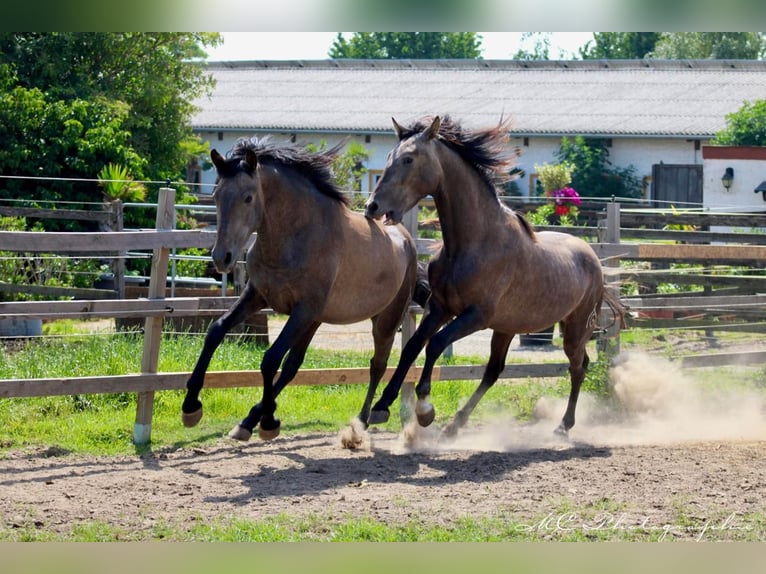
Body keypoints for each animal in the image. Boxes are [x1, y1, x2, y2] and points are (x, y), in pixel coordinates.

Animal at [182, 138, 420, 446]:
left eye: (248, 197)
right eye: (216, 196)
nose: (222, 257)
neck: (296, 237)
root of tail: (406, 238)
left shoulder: (302, 309)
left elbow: (270, 359)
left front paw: (269, 422)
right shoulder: (257, 296)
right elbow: (216, 331)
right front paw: (190, 406)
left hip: (384, 320)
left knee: (377, 365)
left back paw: (364, 421)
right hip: (316, 319)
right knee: (294, 365)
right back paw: (247, 422)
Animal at [364, 117, 624, 440]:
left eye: (408, 159)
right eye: (389, 157)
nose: (372, 207)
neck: (475, 241)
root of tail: (594, 259)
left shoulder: (477, 315)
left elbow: (435, 344)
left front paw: (424, 410)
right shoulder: (440, 307)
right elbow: (413, 346)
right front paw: (382, 406)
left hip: (575, 328)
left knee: (578, 366)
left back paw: (563, 426)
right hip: (507, 327)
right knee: (493, 371)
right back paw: (454, 426)